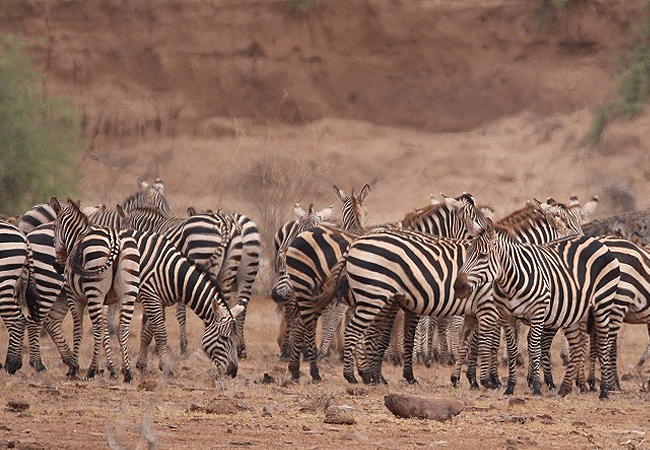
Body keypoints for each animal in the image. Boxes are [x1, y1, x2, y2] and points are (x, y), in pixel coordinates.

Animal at [49, 197, 243, 380]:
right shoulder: (152, 296)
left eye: (232, 338)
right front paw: (156, 366)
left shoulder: (152, 298)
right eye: (225, 338)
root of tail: (223, 222)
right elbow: (155, 332)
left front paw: (139, 366)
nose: (233, 372)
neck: (171, 271)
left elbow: (146, 331)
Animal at [454, 218, 620, 399]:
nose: (458, 286)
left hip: (603, 304)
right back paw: (564, 388)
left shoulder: (538, 312)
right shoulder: (506, 316)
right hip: (574, 312)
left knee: (603, 344)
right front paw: (510, 387)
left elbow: (534, 347)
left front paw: (536, 386)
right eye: (467, 253)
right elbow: (512, 349)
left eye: (483, 256)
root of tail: (596, 241)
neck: (510, 282)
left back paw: (604, 391)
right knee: (577, 345)